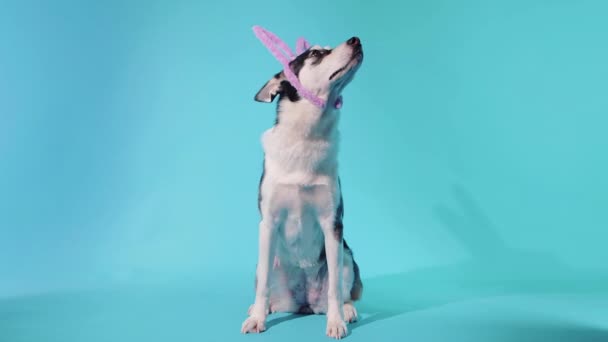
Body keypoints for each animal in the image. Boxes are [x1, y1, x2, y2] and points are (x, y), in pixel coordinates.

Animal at [241, 35, 366, 340]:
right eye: (316, 54)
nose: (356, 39)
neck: (306, 137)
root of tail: (304, 303)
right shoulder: (269, 222)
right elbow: (263, 286)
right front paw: (258, 319)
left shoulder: (332, 224)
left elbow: (335, 288)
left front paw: (336, 321)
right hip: (266, 262)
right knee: (265, 284)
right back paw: (261, 308)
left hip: (347, 256)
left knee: (343, 289)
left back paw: (346, 310)